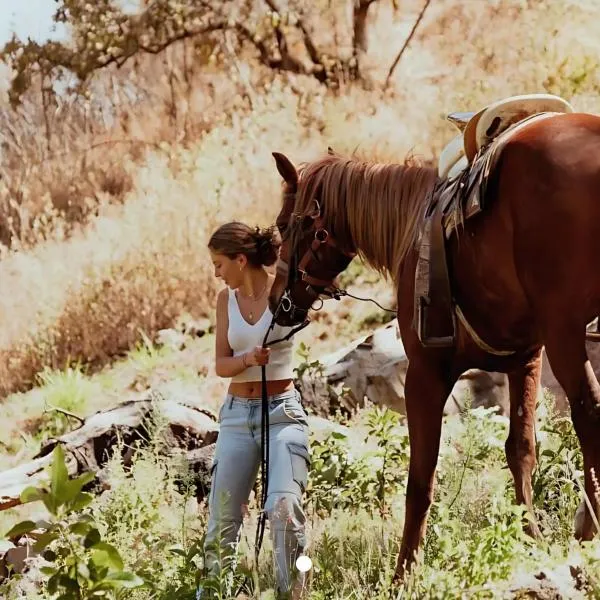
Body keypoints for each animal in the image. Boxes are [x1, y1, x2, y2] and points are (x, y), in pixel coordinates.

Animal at [270, 110, 600, 584]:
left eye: (283, 225)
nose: (279, 304)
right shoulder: (525, 360)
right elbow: (520, 450)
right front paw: (531, 540)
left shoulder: (425, 374)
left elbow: (420, 477)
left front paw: (403, 571)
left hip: (567, 333)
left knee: (589, 413)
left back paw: (589, 528)